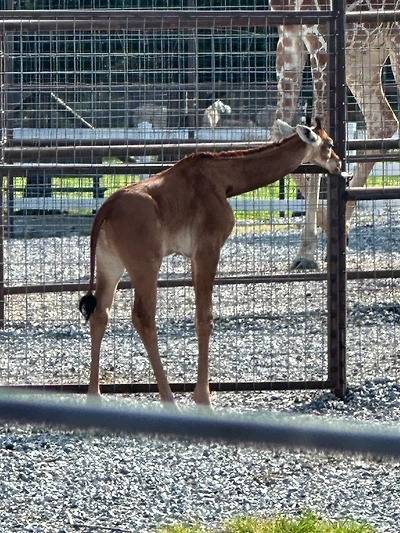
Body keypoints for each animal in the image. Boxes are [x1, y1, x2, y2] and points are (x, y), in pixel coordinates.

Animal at [80, 118, 340, 406]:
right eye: (329, 144)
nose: (339, 164)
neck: (225, 180)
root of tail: (105, 210)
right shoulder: (207, 249)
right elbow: (205, 317)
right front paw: (203, 396)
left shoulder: (194, 257)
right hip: (145, 264)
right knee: (143, 316)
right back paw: (168, 398)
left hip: (110, 263)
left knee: (100, 313)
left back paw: (94, 395)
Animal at [270, 0, 398, 268]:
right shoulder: (288, 33)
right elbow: (278, 129)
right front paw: (331, 227)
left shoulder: (320, 37)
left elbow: (317, 127)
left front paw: (306, 253)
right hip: (366, 53)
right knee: (383, 122)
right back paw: (345, 223)